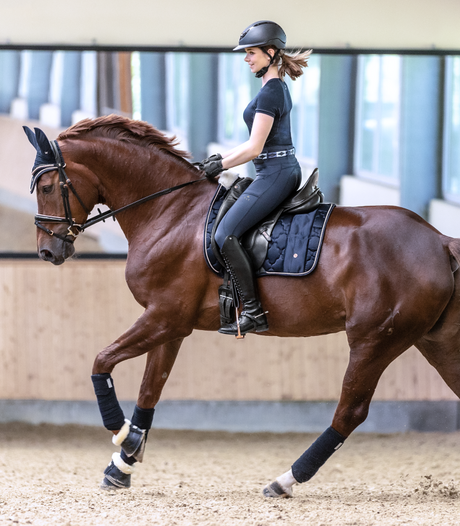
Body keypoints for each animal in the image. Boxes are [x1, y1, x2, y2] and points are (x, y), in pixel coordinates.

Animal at [24, 115, 460, 500]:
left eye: (46, 186)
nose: (47, 251)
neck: (170, 212)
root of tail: (438, 240)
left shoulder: (163, 317)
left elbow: (101, 362)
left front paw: (122, 434)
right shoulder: (170, 325)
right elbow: (150, 390)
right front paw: (124, 463)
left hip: (374, 342)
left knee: (349, 412)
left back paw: (284, 481)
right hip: (435, 342)